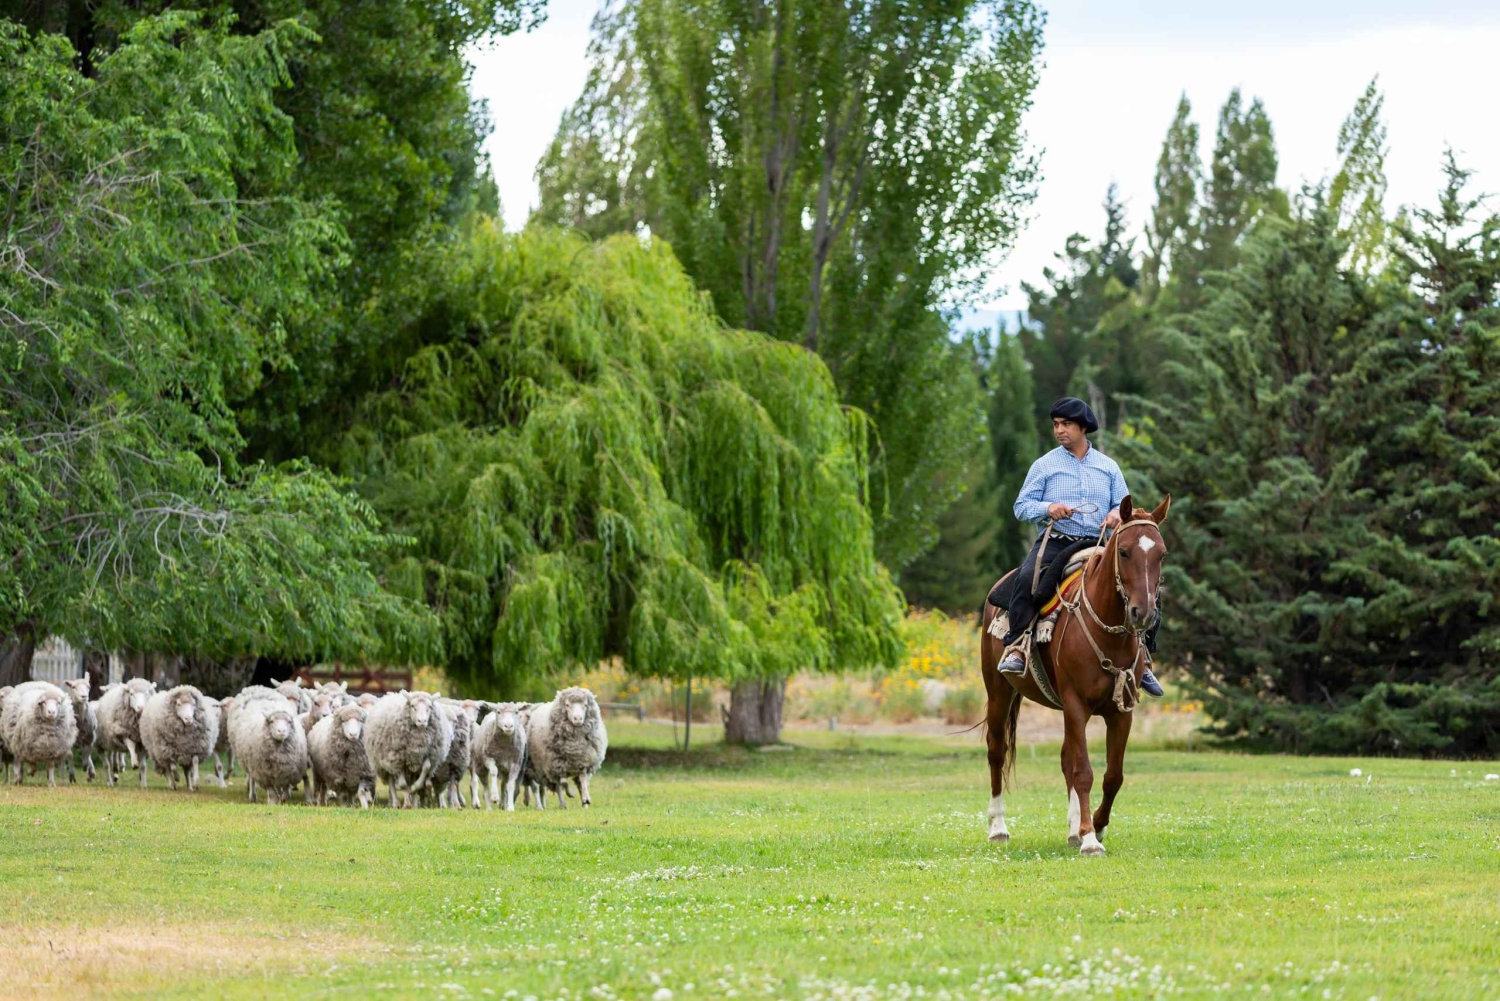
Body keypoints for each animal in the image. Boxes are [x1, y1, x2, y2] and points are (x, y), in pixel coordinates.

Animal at [979, 493, 1170, 856]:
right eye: (1124, 551)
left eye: (1161, 553)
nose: (1144, 613)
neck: (1108, 633)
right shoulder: (1076, 703)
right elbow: (1083, 771)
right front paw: (1090, 839)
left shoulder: (1121, 711)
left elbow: (1112, 776)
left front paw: (1095, 825)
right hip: (999, 692)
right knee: (997, 751)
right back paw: (998, 827)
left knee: (1066, 757)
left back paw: (1071, 829)